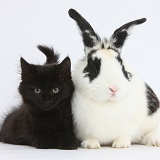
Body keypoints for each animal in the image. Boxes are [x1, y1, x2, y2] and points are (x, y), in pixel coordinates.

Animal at [68, 8, 159, 149]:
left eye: (122, 66)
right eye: (94, 67)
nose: (114, 88)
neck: (107, 103)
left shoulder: (131, 124)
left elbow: (124, 135)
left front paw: (120, 144)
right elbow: (90, 137)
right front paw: (91, 145)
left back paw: (154, 140)